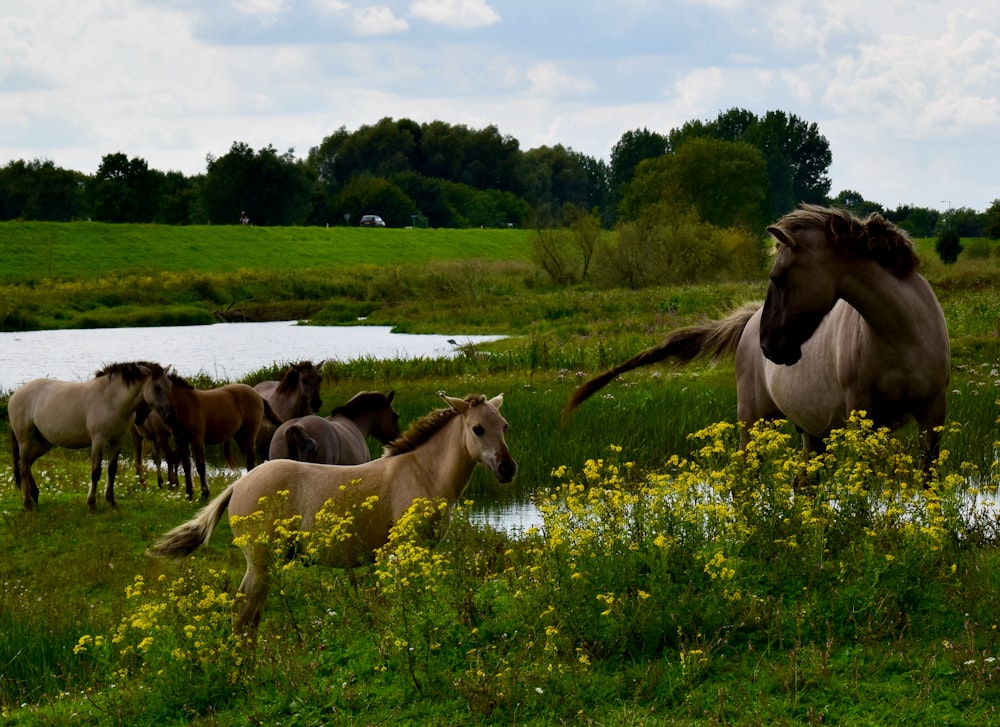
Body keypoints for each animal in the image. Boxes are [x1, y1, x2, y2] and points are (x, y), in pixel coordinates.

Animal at [9, 360, 174, 512]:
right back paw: (28, 504)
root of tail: (15, 394)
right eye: (157, 387)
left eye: (169, 385)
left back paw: (35, 495)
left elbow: (111, 470)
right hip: (25, 440)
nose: (169, 415)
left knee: (27, 464)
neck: (111, 400)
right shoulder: (98, 440)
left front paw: (112, 502)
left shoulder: (118, 439)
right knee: (23, 467)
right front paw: (91, 505)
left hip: (44, 442)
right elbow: (96, 471)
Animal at [568, 205, 948, 466]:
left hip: (811, 431)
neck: (900, 337)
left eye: (777, 277)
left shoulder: (932, 416)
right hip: (753, 421)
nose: (769, 346)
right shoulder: (862, 416)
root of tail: (749, 322)